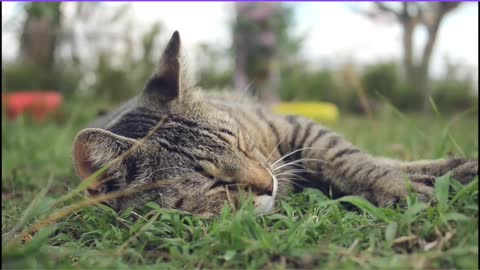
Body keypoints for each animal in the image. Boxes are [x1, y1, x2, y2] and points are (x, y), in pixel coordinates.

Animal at [73, 31, 478, 217]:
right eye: (214, 183)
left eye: (240, 143)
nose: (268, 183)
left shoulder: (300, 127)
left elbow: (352, 161)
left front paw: (398, 183)